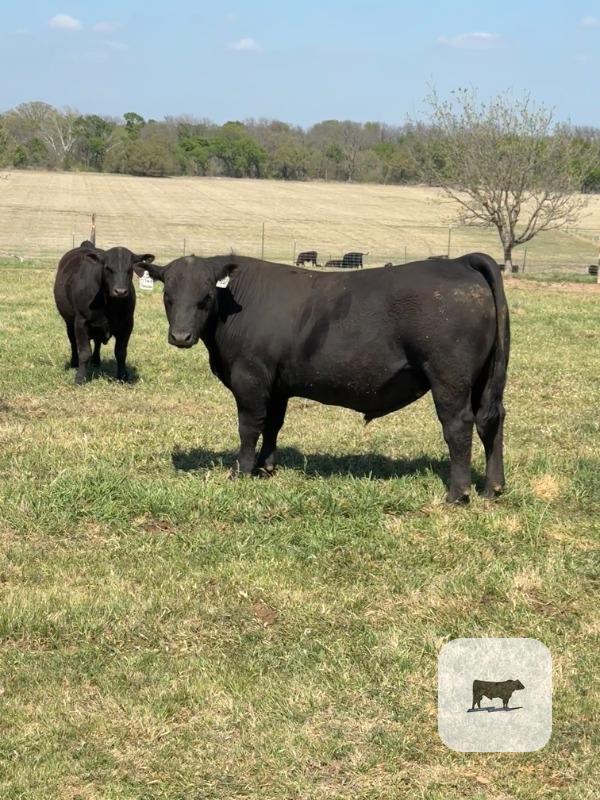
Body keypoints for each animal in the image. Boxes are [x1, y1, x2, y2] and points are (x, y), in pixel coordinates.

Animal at [54, 242, 154, 384]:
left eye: (130, 269)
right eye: (107, 268)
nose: (120, 291)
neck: (110, 306)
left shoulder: (127, 324)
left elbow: (121, 352)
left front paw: (123, 376)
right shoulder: (81, 322)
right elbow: (84, 352)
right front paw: (80, 378)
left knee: (97, 342)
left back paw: (96, 361)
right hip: (69, 322)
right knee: (73, 342)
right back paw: (74, 363)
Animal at [142, 252, 509, 503]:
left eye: (205, 297)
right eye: (167, 296)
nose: (180, 336)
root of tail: (461, 262)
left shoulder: (250, 378)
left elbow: (249, 427)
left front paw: (241, 471)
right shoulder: (277, 385)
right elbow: (273, 425)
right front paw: (266, 467)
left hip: (449, 377)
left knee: (458, 426)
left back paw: (458, 493)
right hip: (483, 379)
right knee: (491, 420)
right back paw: (493, 488)